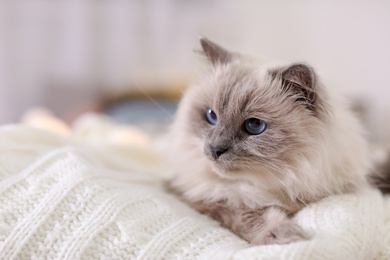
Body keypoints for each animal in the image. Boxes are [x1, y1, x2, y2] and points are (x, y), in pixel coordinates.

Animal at [166, 37, 386, 245]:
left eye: (254, 125)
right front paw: (286, 236)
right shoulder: (198, 196)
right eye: (211, 116)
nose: (214, 149)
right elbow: (244, 212)